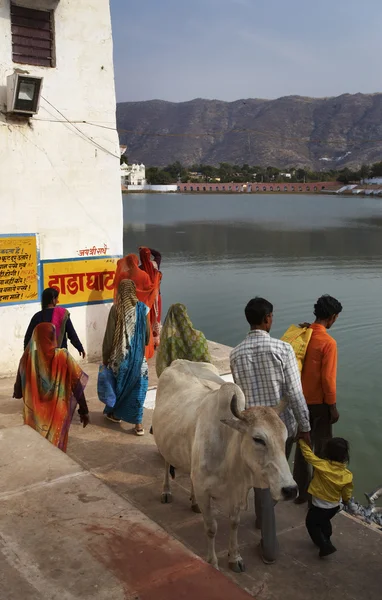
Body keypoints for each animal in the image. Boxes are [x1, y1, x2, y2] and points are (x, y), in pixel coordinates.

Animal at [152, 360, 298, 572]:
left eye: (285, 438)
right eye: (258, 439)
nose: (290, 490)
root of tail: (179, 361)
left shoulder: (236, 493)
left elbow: (234, 523)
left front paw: (234, 557)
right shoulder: (205, 491)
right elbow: (211, 528)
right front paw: (213, 562)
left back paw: (193, 502)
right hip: (164, 445)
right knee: (166, 464)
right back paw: (166, 491)